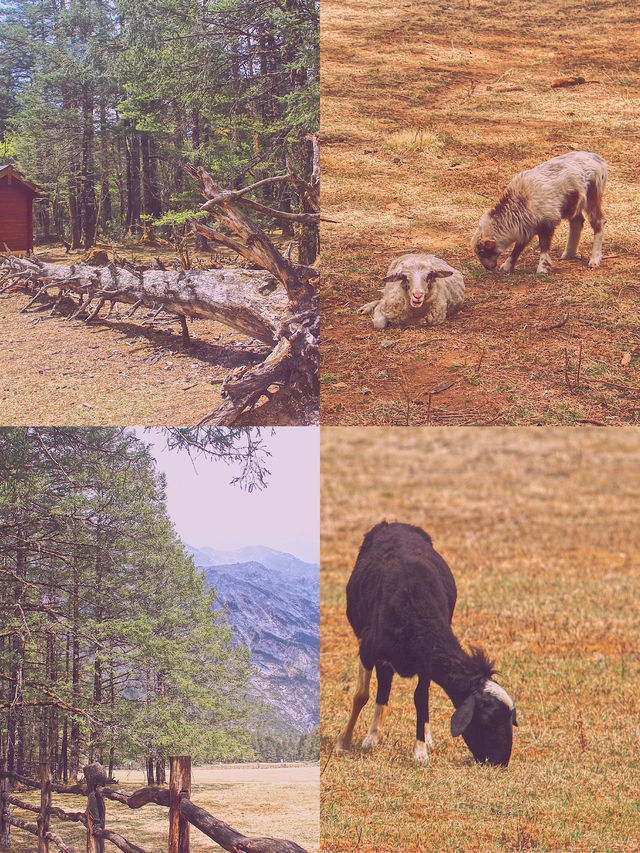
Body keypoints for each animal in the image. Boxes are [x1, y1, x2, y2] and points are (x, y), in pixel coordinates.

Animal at [336, 520, 516, 764]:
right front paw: (343, 743)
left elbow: (421, 697)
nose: (501, 763)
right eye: (488, 719)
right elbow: (361, 696)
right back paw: (372, 737)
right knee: (383, 685)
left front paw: (420, 751)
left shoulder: (425, 663)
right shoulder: (367, 649)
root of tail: (395, 523)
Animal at [472, 151, 608, 272]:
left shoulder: (547, 222)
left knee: (598, 222)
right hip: (574, 204)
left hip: (592, 196)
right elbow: (519, 246)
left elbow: (544, 245)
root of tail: (599, 160)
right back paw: (568, 253)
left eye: (483, 252)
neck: (520, 202)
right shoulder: (527, 226)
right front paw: (507, 266)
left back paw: (594, 260)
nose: (488, 268)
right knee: (577, 222)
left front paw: (542, 268)